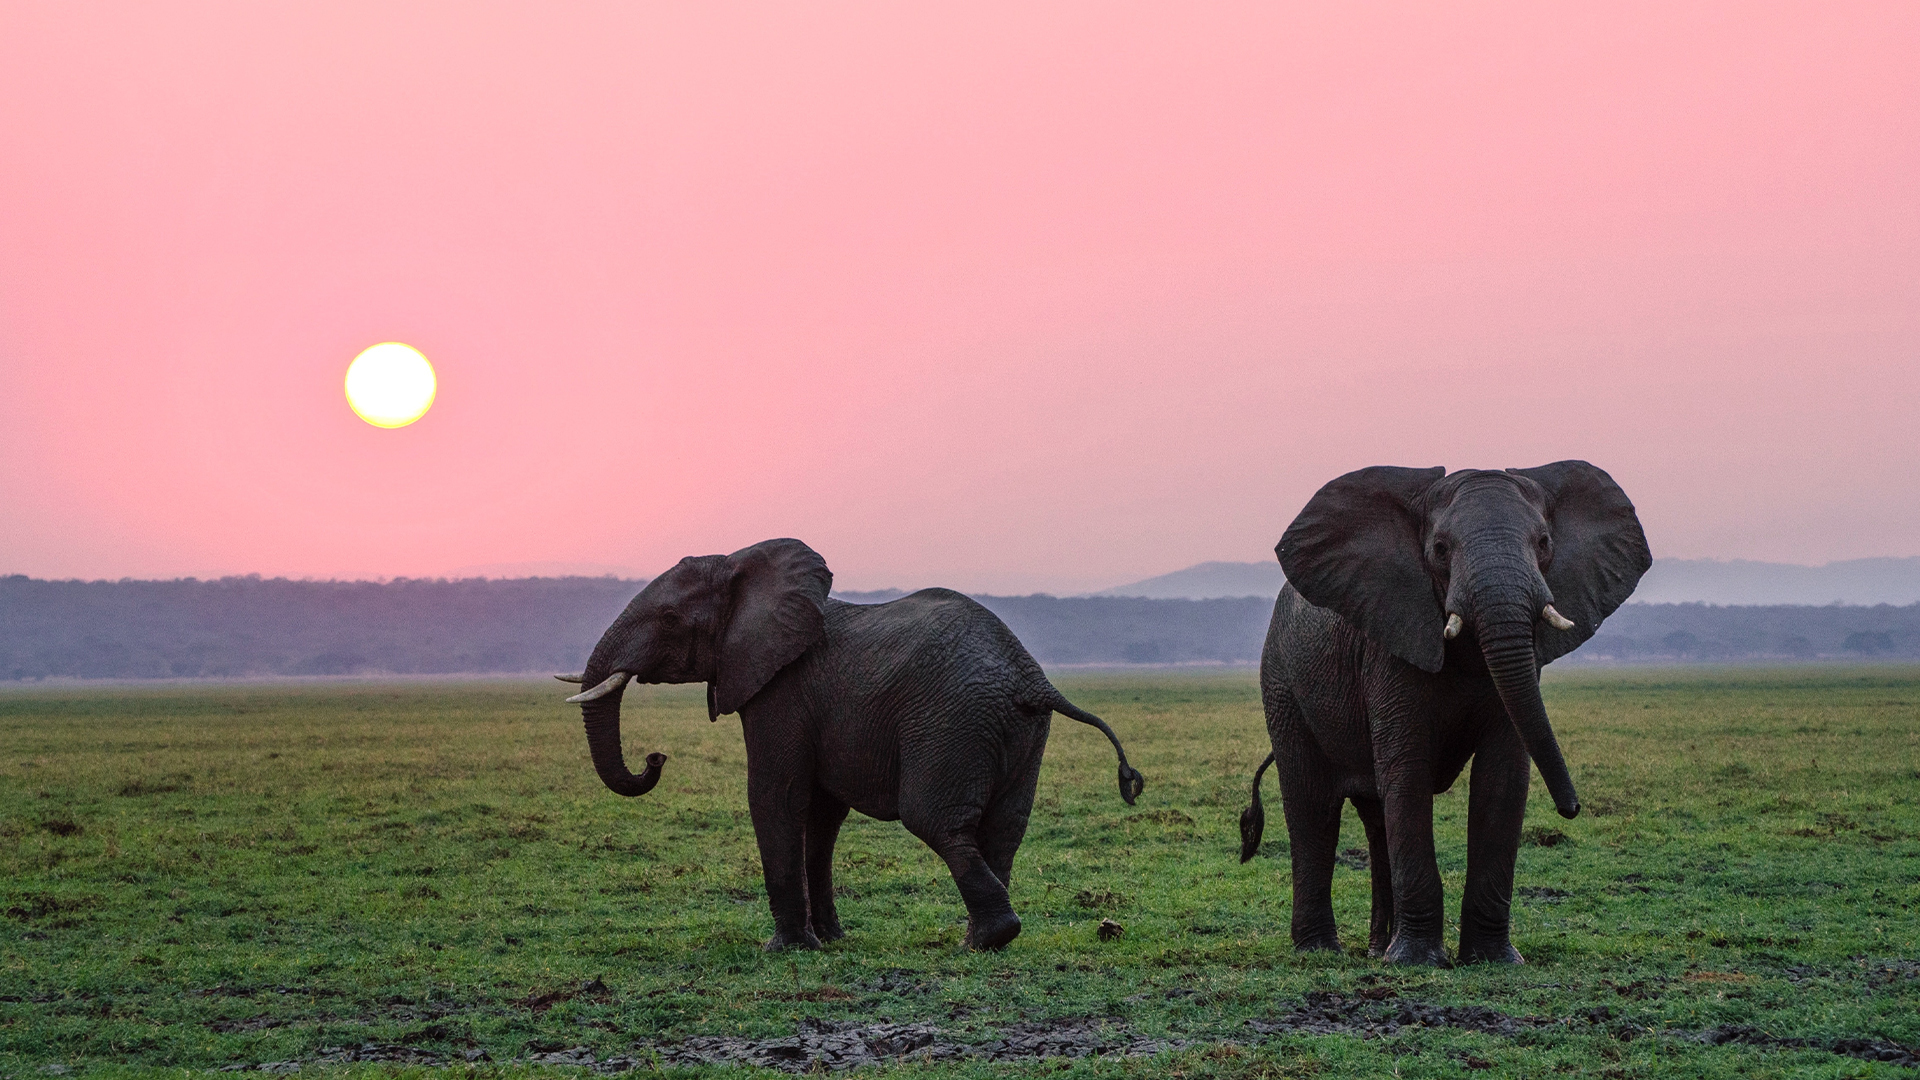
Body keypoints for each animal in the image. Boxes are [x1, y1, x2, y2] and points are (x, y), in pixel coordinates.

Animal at [560, 534, 1144, 945]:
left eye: (668, 617)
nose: (655, 757)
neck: (741, 564)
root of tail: (1030, 676)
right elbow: (821, 815)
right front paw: (832, 940)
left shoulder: (782, 691)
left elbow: (775, 796)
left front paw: (788, 948)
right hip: (1018, 729)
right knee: (1004, 828)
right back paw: (981, 938)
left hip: (952, 721)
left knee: (935, 820)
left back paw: (988, 939)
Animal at [1244, 457, 1651, 960]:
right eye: (1439, 549)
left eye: (1543, 543)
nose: (1572, 808)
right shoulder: (1390, 644)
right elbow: (1408, 772)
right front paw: (1418, 962)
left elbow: (1503, 778)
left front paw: (1494, 960)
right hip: (1283, 683)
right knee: (1313, 805)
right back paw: (1321, 951)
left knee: (1376, 817)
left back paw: (1378, 950)